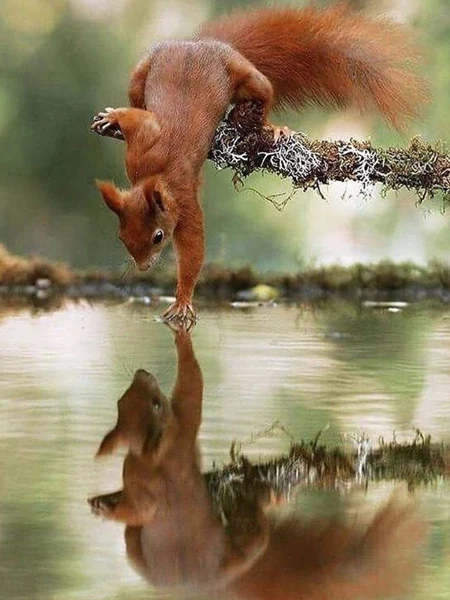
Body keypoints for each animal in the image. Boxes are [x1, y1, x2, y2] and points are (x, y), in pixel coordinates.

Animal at [91, 3, 426, 324]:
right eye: (121, 236)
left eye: (158, 236)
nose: (143, 267)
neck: (154, 175)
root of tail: (202, 43)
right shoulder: (140, 150)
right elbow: (138, 119)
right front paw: (113, 117)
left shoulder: (183, 201)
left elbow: (193, 250)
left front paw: (183, 300)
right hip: (142, 71)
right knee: (137, 96)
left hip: (244, 76)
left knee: (263, 93)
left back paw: (271, 127)